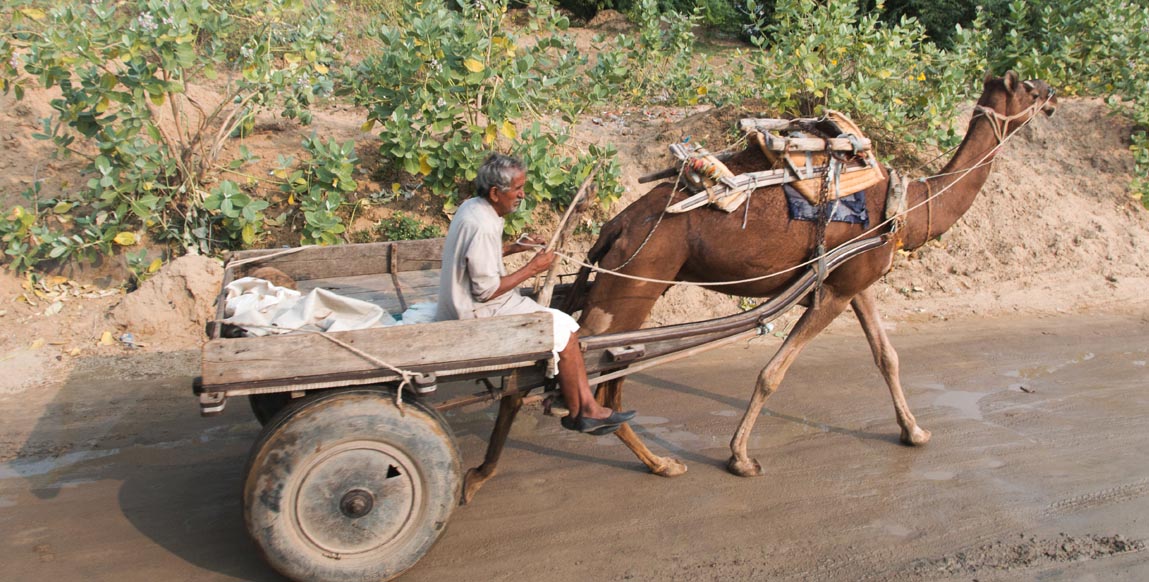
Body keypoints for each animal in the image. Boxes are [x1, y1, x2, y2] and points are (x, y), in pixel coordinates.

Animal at [569, 70, 1052, 475]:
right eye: (1029, 87)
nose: (1052, 94)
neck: (906, 206)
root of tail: (616, 226)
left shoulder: (855, 280)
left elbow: (887, 356)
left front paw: (914, 432)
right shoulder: (833, 290)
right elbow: (772, 372)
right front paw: (741, 457)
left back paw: (654, 459)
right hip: (634, 281)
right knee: (596, 367)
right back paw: (659, 461)